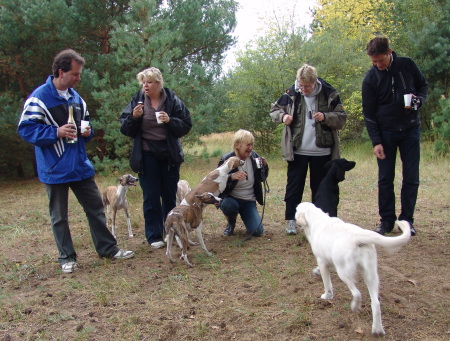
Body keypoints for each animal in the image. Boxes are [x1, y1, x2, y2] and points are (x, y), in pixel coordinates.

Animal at [296, 202, 412, 334]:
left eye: (296, 210)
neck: (317, 219)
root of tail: (358, 236)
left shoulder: (322, 261)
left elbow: (327, 284)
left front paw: (327, 296)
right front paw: (316, 271)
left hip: (343, 272)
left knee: (357, 293)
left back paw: (355, 307)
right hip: (371, 275)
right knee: (376, 303)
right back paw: (377, 330)